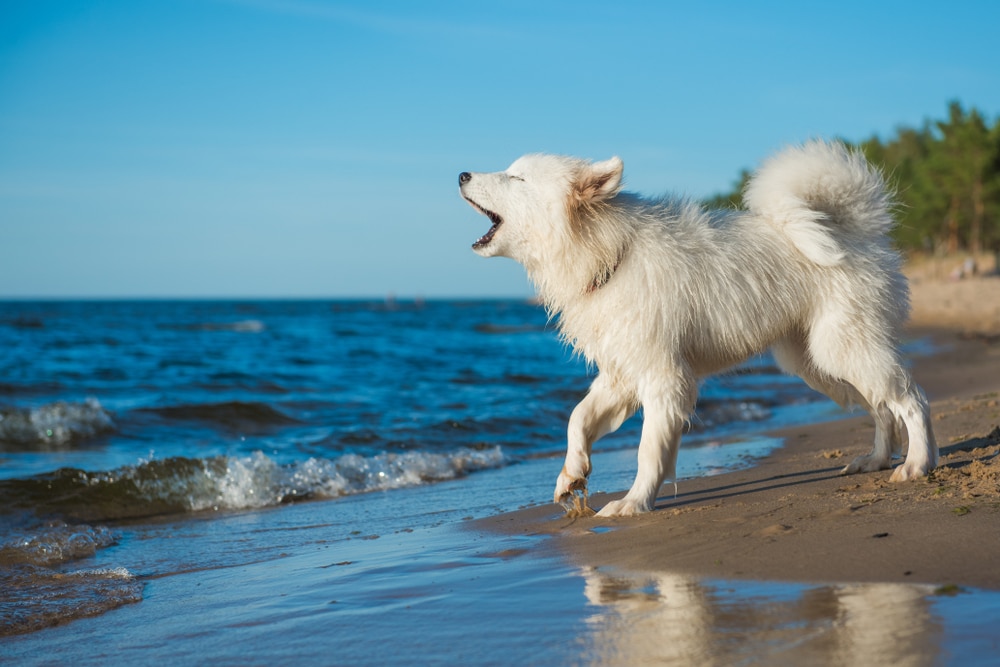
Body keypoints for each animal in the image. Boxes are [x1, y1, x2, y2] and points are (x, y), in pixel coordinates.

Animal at [460, 140, 936, 516]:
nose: (462, 173)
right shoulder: (621, 374)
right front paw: (572, 474)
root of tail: (853, 228)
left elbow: (648, 450)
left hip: (840, 348)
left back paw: (918, 464)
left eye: (517, 177)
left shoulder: (663, 378)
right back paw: (877, 460)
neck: (608, 255)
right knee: (881, 406)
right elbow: (577, 419)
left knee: (912, 399)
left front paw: (633, 503)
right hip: (818, 360)